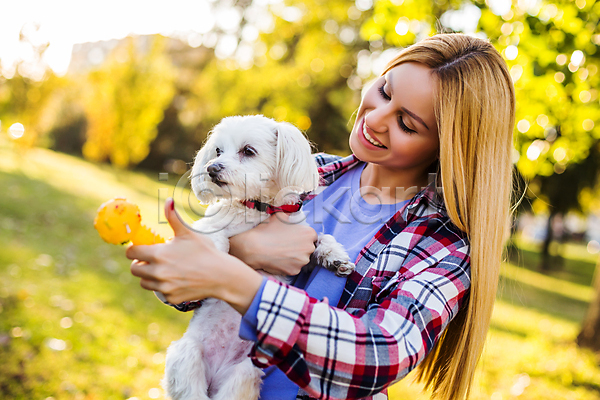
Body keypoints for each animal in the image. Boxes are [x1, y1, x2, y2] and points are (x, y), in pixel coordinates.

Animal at [162, 115, 354, 400]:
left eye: (248, 151)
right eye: (218, 150)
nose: (212, 168)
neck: (260, 209)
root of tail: (214, 377)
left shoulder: (301, 244)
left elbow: (322, 238)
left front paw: (336, 257)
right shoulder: (207, 229)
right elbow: (217, 239)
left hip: (244, 374)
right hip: (185, 356)